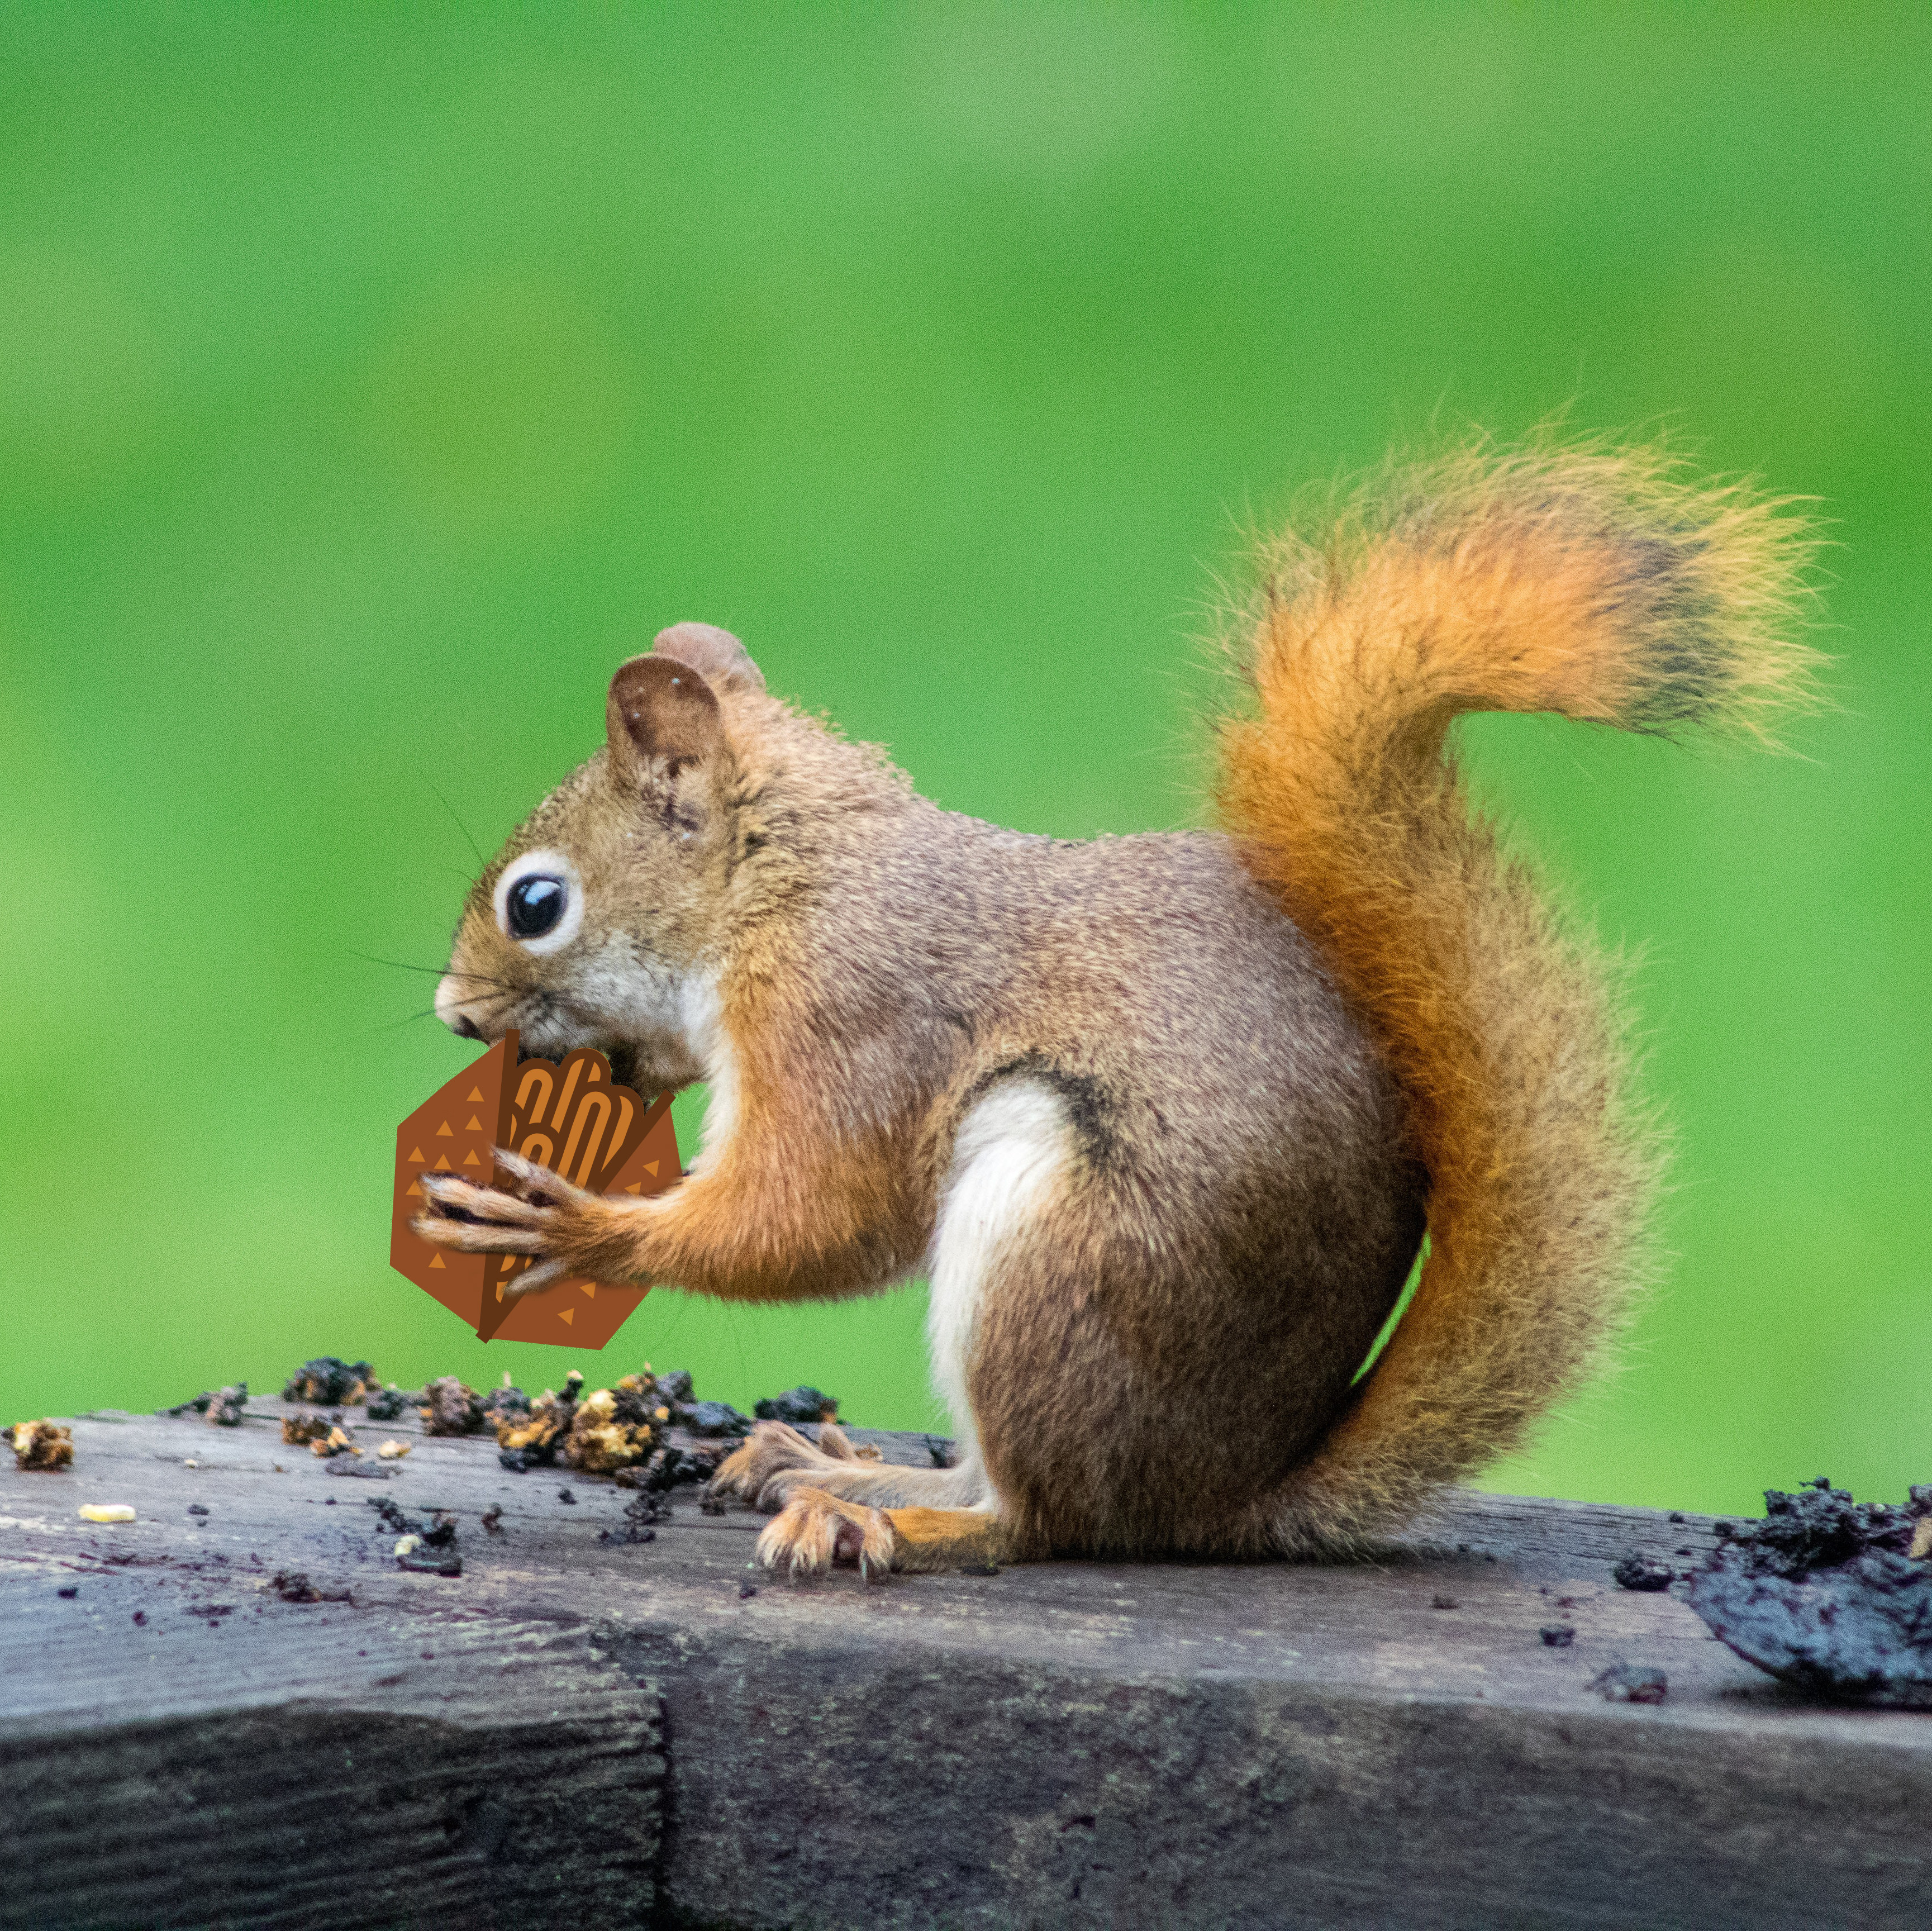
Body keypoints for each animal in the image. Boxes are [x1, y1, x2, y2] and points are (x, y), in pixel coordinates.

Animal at [415, 444, 1816, 1577]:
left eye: (536, 904)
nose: (451, 1012)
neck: (786, 883)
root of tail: (1221, 1498)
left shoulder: (850, 1017)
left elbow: (817, 1216)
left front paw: (582, 1227)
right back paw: (833, 1464)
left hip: (1054, 1248)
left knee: (1038, 1521)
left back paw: (887, 1515)